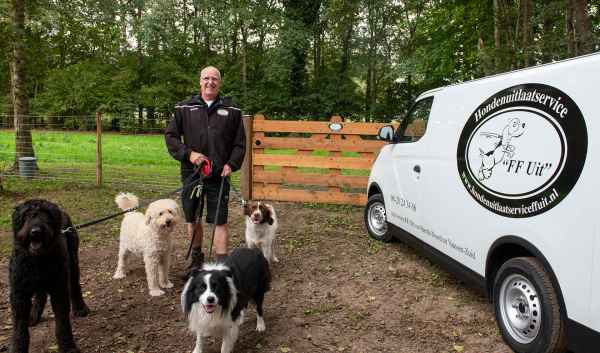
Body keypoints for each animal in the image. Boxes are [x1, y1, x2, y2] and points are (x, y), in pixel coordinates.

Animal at [9, 199, 89, 352]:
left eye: (46, 214)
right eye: (26, 215)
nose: (35, 232)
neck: (37, 260)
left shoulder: (58, 289)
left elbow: (62, 322)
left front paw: (67, 347)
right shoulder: (19, 294)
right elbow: (19, 330)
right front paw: (18, 348)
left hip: (72, 261)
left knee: (75, 285)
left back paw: (80, 308)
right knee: (41, 295)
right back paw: (33, 315)